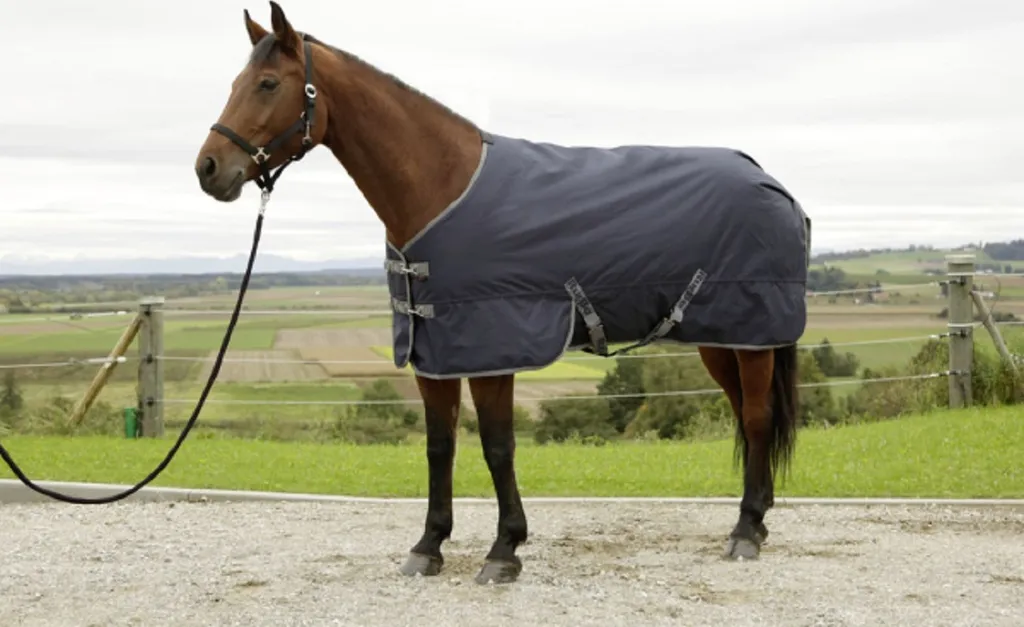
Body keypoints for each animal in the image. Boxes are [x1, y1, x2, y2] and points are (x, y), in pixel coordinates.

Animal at [194, 2, 810, 585]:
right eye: (235, 83)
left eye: (268, 84)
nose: (208, 169)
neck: (442, 185)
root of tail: (771, 182)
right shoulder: (434, 353)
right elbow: (439, 445)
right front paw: (429, 546)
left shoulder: (492, 347)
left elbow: (496, 446)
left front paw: (504, 550)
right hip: (723, 339)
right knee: (745, 414)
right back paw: (757, 519)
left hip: (753, 338)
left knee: (757, 417)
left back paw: (746, 530)